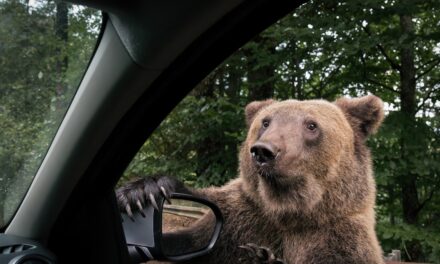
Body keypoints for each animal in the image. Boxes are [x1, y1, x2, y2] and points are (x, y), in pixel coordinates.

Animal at [117, 95, 384, 264]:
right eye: (266, 122)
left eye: (311, 125)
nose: (264, 151)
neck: (287, 211)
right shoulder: (236, 219)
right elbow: (188, 241)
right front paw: (142, 193)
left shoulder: (337, 238)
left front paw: (263, 257)